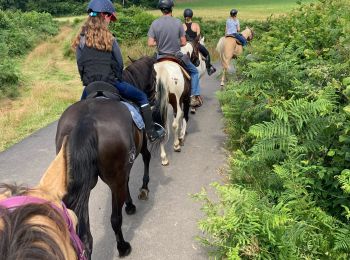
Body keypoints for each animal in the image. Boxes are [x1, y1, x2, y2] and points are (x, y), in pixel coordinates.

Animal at [55, 55, 167, 256]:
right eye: (154, 75)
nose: (153, 98)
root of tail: (87, 121)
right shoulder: (140, 148)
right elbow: (146, 159)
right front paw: (143, 189)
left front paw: (130, 203)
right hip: (114, 178)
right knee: (115, 219)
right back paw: (123, 246)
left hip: (83, 185)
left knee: (84, 235)